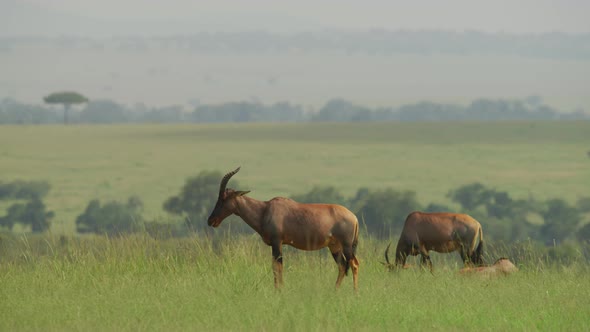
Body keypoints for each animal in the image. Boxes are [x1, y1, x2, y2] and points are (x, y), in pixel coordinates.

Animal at [206, 167, 364, 290]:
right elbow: (276, 267)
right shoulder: (276, 244)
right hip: (334, 246)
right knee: (342, 266)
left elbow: (277, 267)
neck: (265, 210)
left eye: (223, 198)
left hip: (347, 245)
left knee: (354, 264)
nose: (211, 220)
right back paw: (334, 291)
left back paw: (355, 293)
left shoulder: (277, 242)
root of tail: (354, 217)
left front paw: (279, 291)